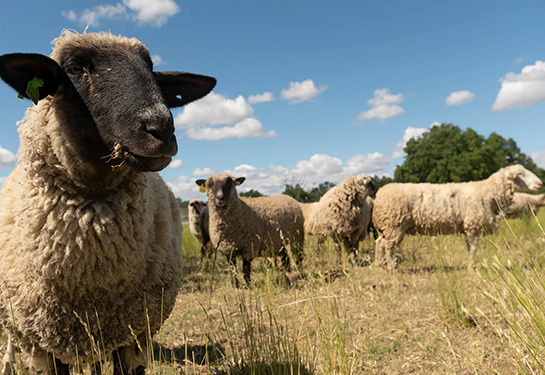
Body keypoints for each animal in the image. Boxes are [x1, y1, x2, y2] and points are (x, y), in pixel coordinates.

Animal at [372, 164, 540, 270]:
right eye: (520, 174)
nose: (540, 184)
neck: (488, 192)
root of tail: (380, 194)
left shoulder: (468, 228)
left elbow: (469, 248)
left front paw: (471, 265)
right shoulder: (473, 226)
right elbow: (473, 249)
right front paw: (471, 267)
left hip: (387, 228)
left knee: (379, 243)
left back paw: (380, 265)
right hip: (394, 225)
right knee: (388, 246)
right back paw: (392, 267)